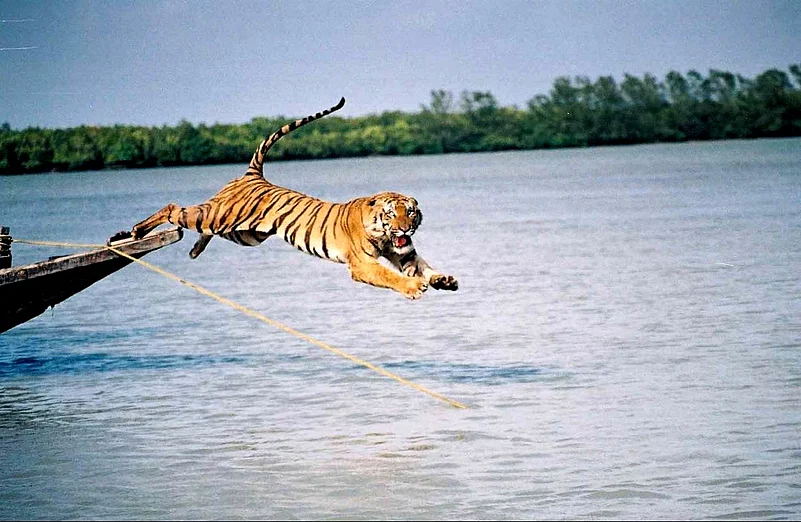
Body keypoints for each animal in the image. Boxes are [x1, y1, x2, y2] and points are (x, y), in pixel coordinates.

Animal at [130, 97, 458, 300]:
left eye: (411, 212)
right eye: (391, 214)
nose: (406, 228)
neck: (383, 235)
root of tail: (254, 175)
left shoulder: (406, 254)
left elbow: (424, 265)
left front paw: (442, 280)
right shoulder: (362, 264)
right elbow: (391, 276)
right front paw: (413, 287)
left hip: (243, 234)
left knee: (202, 229)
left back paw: (194, 251)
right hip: (215, 217)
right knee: (173, 208)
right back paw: (135, 230)